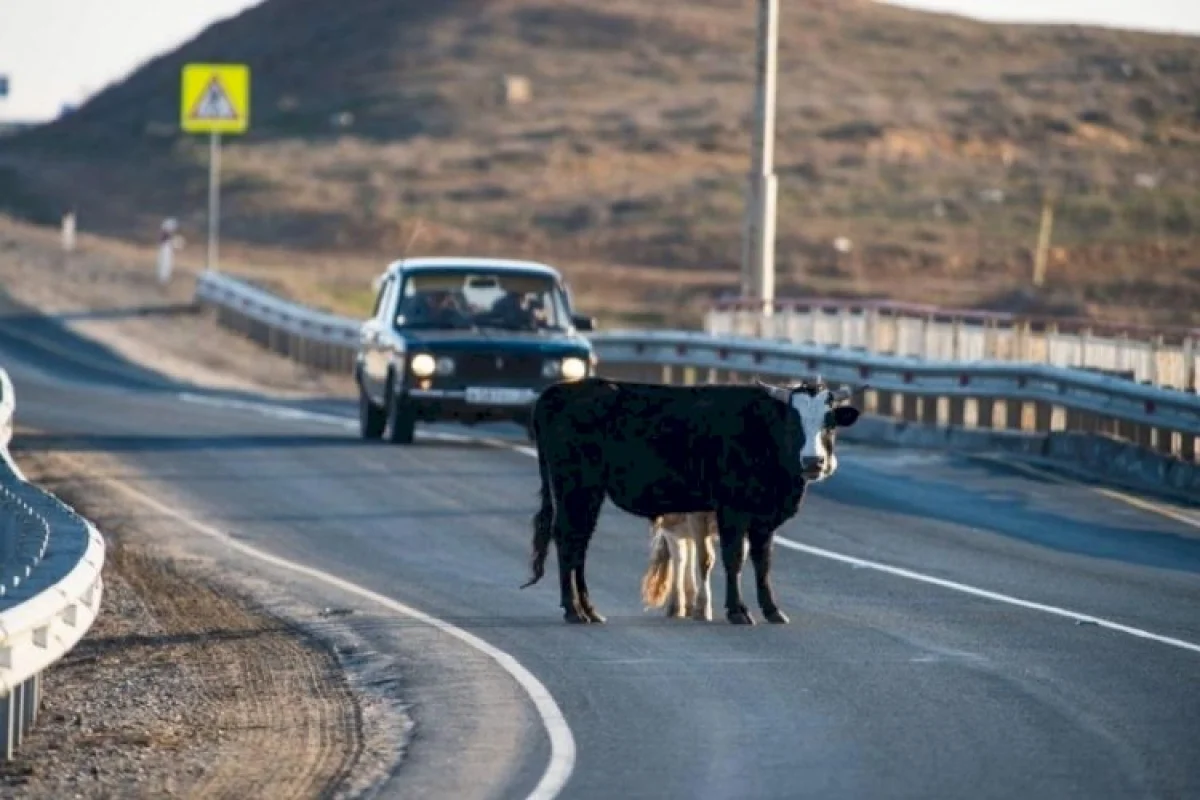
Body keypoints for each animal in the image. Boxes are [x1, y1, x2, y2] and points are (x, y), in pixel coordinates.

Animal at [520, 376, 859, 623]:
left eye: (829, 423)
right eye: (793, 422)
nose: (813, 462)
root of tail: (559, 391)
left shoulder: (763, 517)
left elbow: (763, 562)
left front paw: (773, 610)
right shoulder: (731, 509)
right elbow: (733, 558)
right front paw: (737, 611)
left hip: (586, 494)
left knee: (578, 543)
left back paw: (588, 610)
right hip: (576, 488)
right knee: (569, 541)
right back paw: (573, 610)